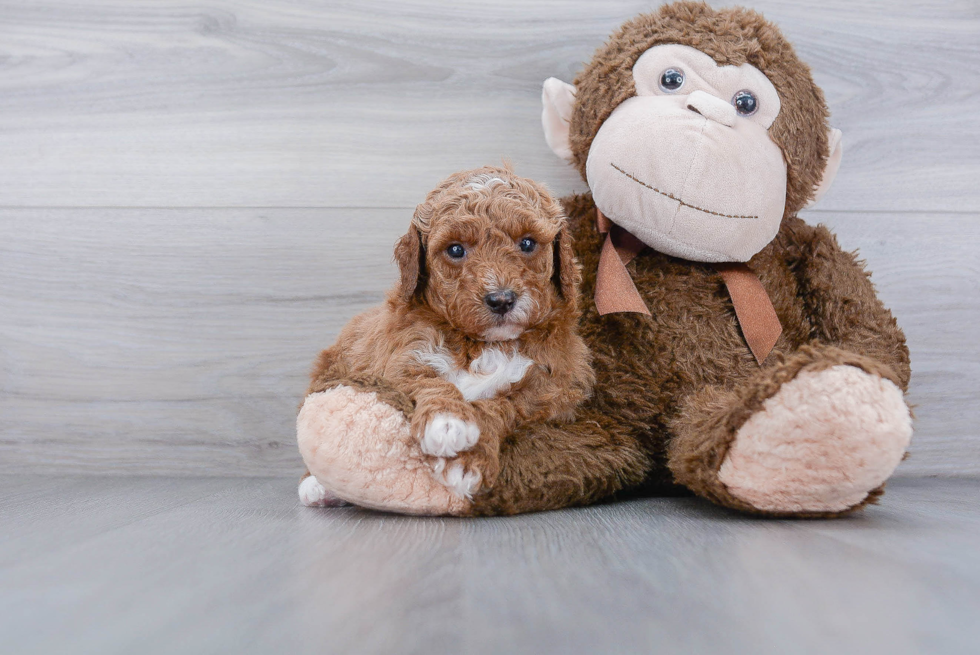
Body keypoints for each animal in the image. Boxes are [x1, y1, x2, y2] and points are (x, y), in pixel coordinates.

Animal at [300, 167, 588, 504]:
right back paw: (316, 486)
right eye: (455, 250)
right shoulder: (399, 361)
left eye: (528, 244)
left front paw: (466, 460)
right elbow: (430, 381)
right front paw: (448, 421)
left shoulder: (553, 387)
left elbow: (506, 404)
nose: (501, 299)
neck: (483, 344)